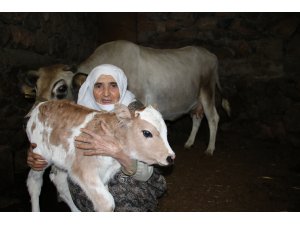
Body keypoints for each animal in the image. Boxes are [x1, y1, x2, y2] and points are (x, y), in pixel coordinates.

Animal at [26, 99, 176, 212]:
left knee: (60, 183)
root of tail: (41, 104)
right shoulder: (84, 171)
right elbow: (107, 203)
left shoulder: (103, 175)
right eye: (147, 133)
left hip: (62, 161)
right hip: (40, 154)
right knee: (34, 182)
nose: (170, 157)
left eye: (166, 131)